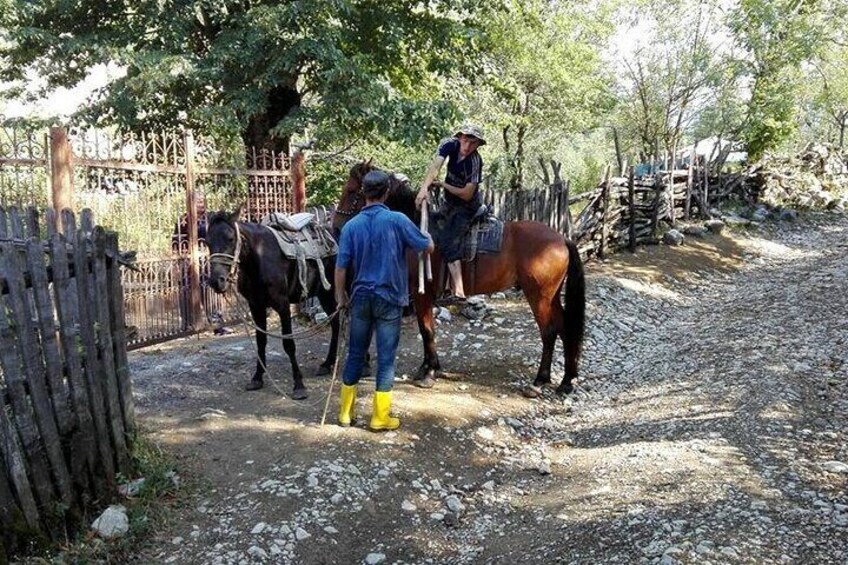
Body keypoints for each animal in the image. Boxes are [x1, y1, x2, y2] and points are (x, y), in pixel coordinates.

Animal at [206, 209, 342, 398]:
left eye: (230, 238)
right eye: (207, 242)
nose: (216, 281)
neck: (258, 259)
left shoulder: (283, 305)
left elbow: (289, 344)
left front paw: (299, 385)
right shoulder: (256, 306)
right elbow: (260, 342)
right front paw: (257, 378)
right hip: (324, 293)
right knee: (336, 323)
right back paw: (327, 364)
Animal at [332, 161, 584, 394]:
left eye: (352, 191)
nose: (335, 227)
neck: (414, 227)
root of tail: (561, 239)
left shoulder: (421, 293)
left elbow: (427, 330)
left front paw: (429, 372)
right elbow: (427, 329)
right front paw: (427, 368)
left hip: (539, 296)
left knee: (549, 331)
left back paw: (540, 380)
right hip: (551, 296)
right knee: (565, 328)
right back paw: (566, 381)